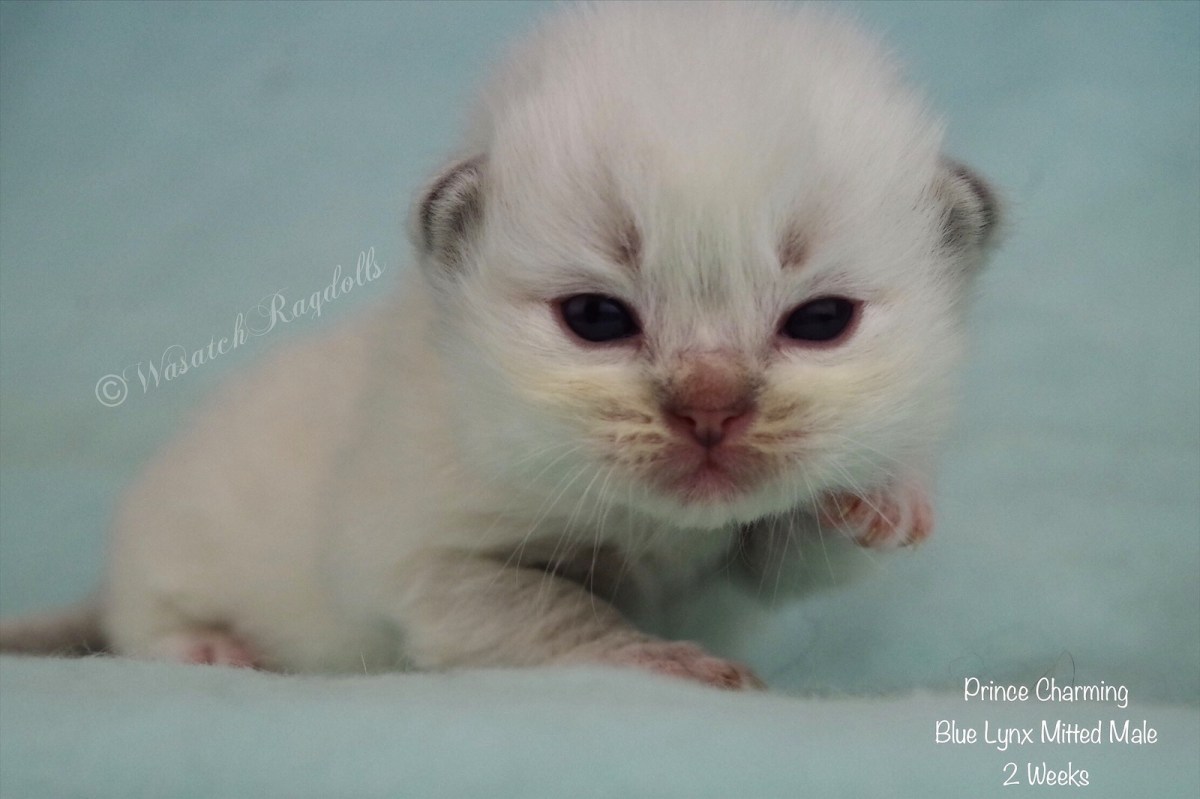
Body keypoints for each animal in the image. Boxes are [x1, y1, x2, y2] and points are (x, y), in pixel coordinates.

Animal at [0, 1, 998, 689]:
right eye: (594, 318)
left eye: (821, 322)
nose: (710, 408)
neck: (657, 530)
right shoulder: (431, 566)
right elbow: (557, 611)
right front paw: (661, 660)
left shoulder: (743, 558)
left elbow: (790, 552)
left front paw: (881, 496)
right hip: (168, 544)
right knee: (139, 626)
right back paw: (210, 647)